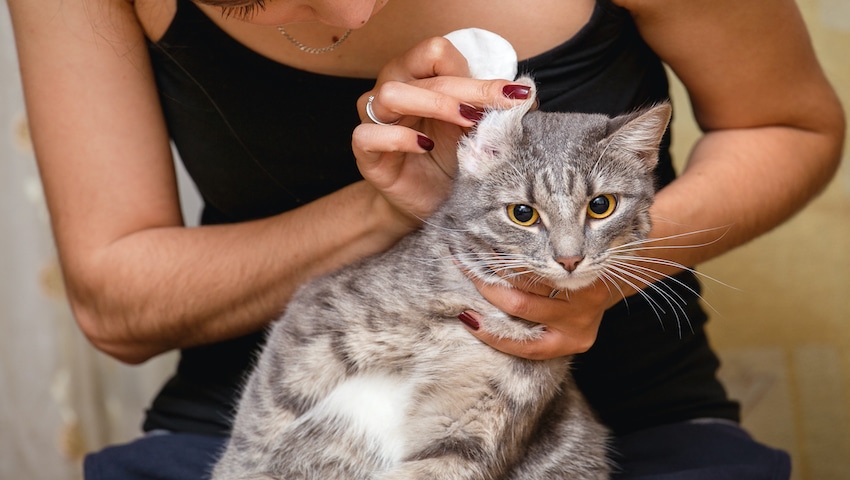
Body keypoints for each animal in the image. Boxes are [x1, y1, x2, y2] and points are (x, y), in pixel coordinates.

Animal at [212, 83, 668, 480]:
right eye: (522, 213)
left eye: (601, 205)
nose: (570, 258)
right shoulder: (317, 313)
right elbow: (262, 420)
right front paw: (243, 466)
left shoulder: (476, 427)